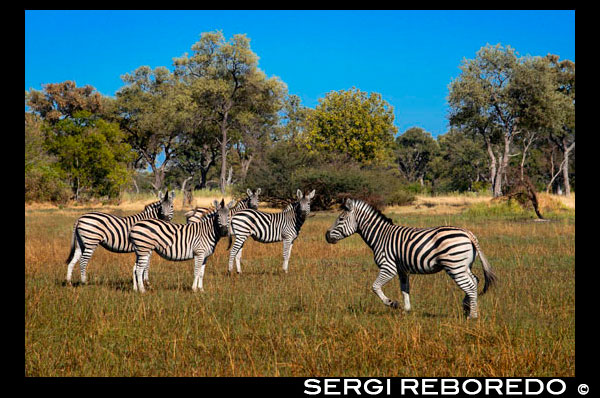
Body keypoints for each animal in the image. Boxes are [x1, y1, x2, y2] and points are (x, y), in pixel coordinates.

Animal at [324, 197, 496, 318]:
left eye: (340, 219)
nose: (326, 236)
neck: (380, 236)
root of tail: (468, 233)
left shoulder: (388, 267)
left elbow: (375, 287)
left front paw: (392, 303)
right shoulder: (402, 270)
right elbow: (405, 290)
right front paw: (406, 310)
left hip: (455, 266)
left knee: (471, 286)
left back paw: (472, 315)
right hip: (464, 265)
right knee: (474, 281)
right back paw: (467, 307)